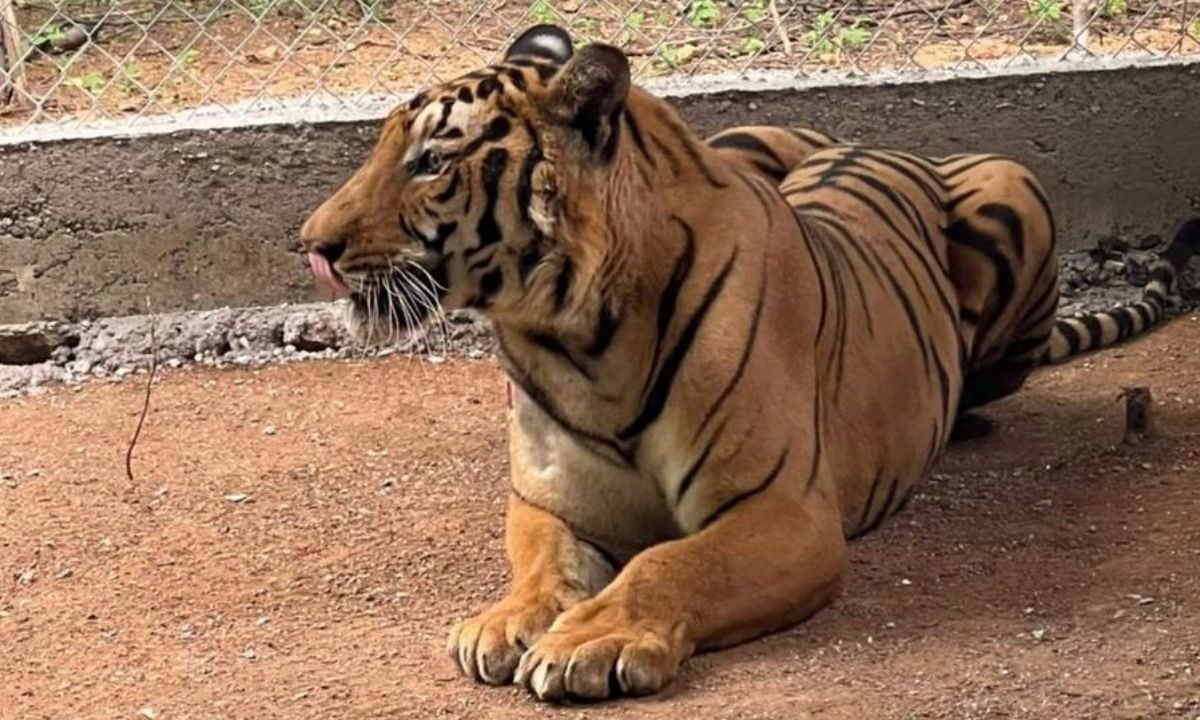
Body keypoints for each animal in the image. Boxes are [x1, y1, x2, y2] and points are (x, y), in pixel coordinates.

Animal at [295, 25, 1195, 700]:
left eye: (431, 162)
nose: (311, 246)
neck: (571, 340)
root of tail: (872, 141)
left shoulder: (784, 510)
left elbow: (667, 562)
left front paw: (594, 639)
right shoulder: (551, 501)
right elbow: (541, 563)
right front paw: (507, 620)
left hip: (1014, 187)